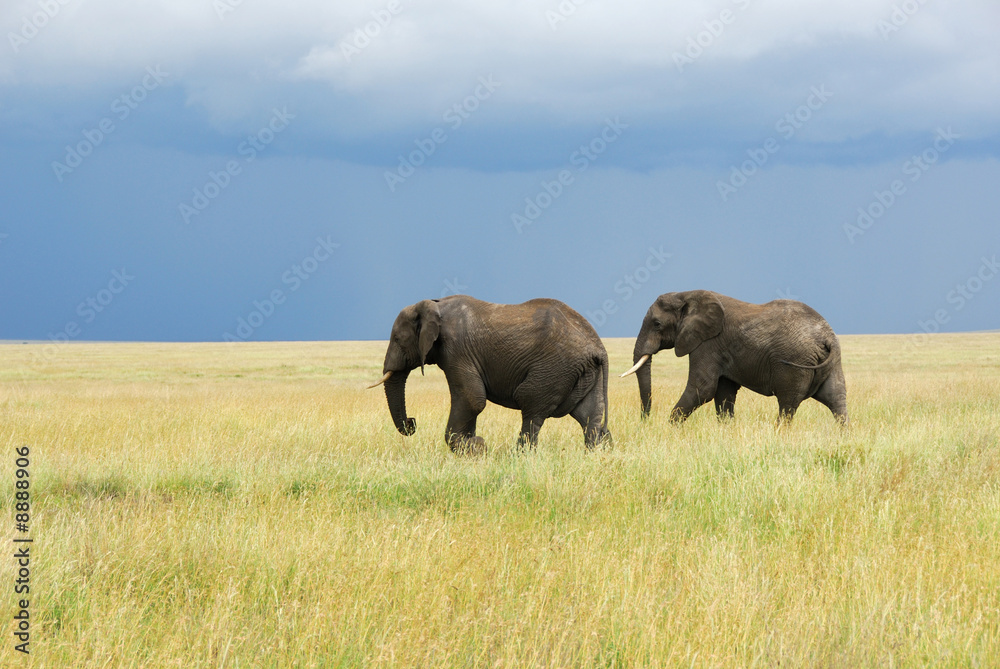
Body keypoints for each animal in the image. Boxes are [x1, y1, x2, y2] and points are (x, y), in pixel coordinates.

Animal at [369, 295, 612, 454]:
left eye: (398, 339)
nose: (412, 422)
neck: (435, 304)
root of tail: (598, 347)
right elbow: (471, 402)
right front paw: (473, 446)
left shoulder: (457, 349)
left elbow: (472, 399)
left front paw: (477, 447)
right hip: (585, 373)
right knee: (589, 416)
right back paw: (594, 454)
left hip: (554, 368)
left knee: (531, 408)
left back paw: (520, 457)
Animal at [621, 290, 848, 425]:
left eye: (657, 324)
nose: (645, 421)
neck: (686, 294)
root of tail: (826, 337)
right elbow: (723, 393)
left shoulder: (707, 344)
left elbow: (702, 389)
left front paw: (670, 428)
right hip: (832, 361)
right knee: (836, 399)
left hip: (795, 363)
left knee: (787, 405)